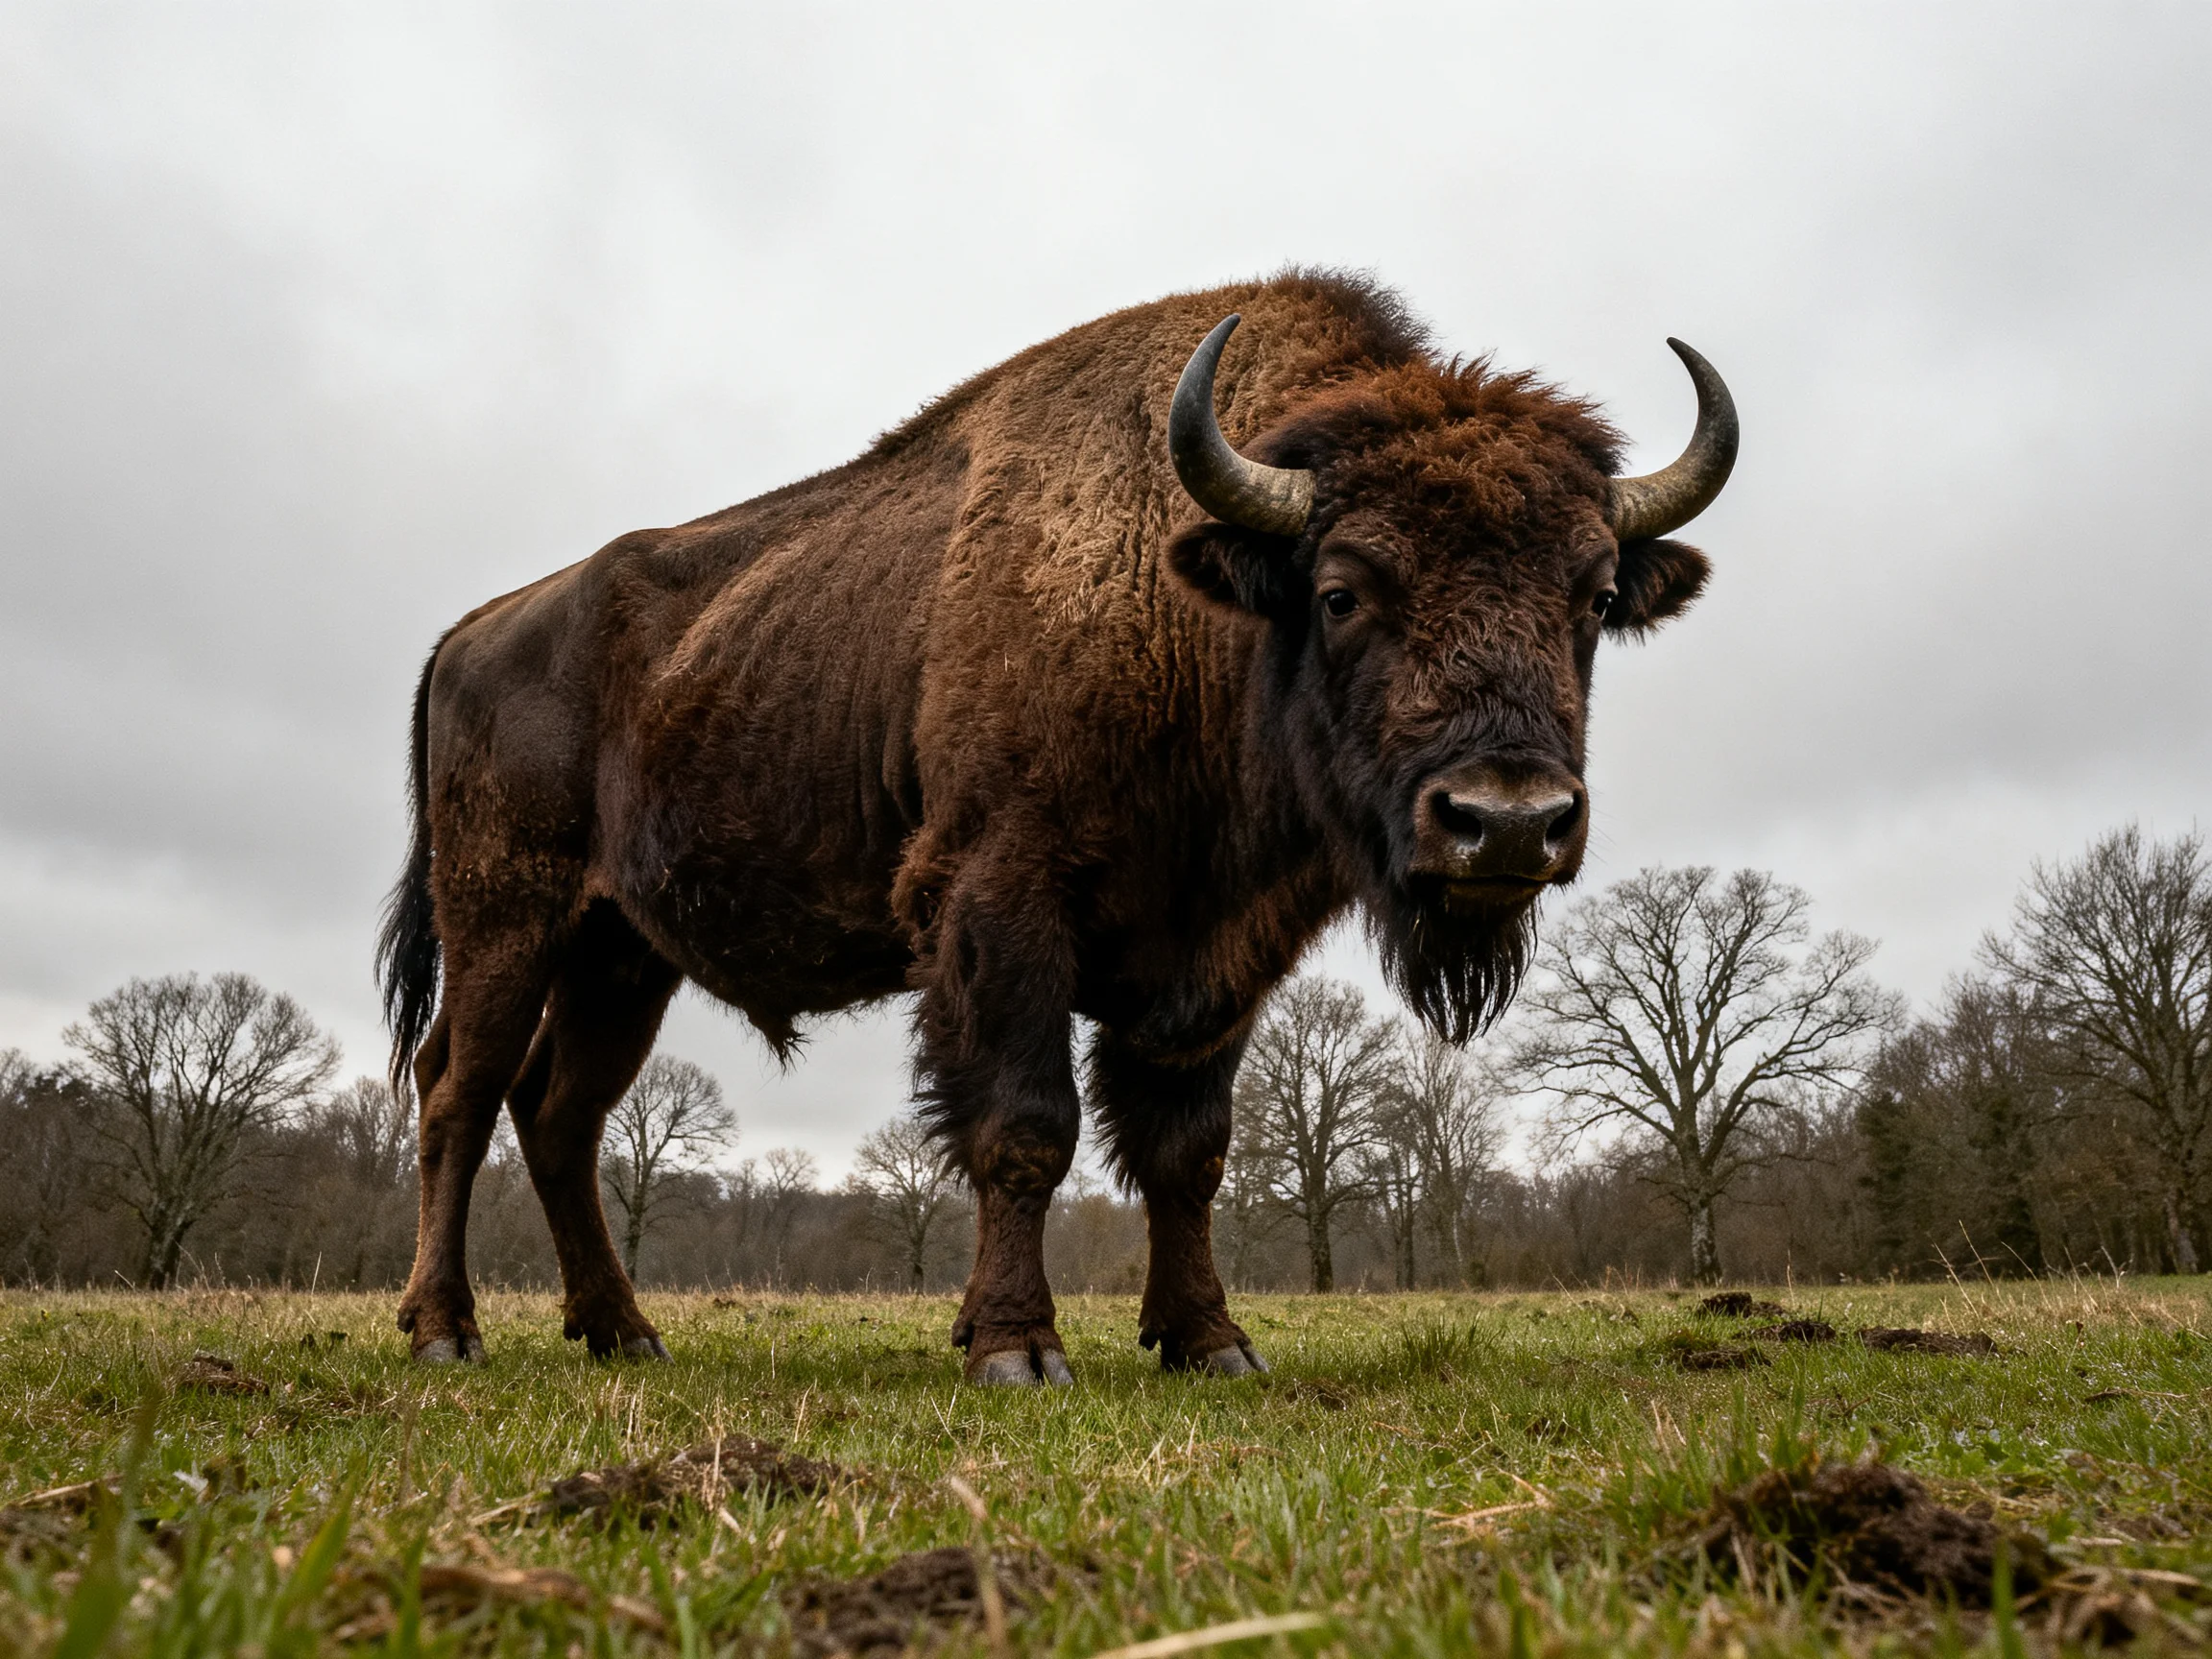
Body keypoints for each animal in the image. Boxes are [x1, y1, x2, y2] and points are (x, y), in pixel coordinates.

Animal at [378, 272, 1735, 1380]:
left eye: (1594, 597)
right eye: (1345, 588)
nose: (1505, 822)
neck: (1186, 601)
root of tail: (470, 631)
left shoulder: (1220, 959)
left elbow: (1188, 1151)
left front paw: (1210, 1342)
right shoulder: (999, 907)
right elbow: (1028, 1127)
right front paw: (1017, 1350)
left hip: (623, 955)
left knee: (560, 1114)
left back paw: (624, 1333)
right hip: (508, 921)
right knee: (460, 1093)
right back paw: (446, 1332)